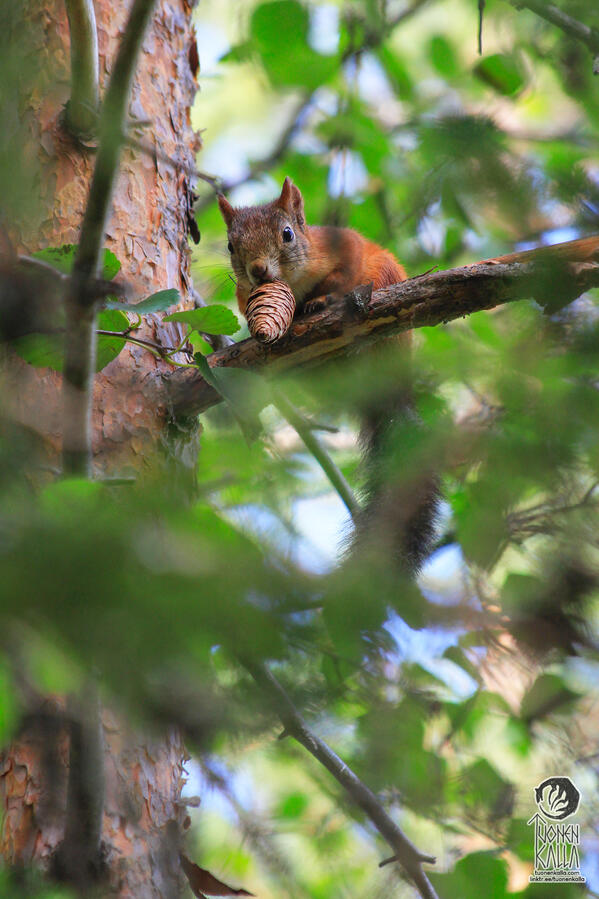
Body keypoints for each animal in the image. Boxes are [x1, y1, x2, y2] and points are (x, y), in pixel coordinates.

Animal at [218, 177, 439, 573]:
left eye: (287, 234)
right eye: (230, 245)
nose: (258, 270)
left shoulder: (340, 246)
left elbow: (341, 273)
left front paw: (320, 300)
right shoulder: (244, 292)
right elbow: (245, 301)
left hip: (386, 289)